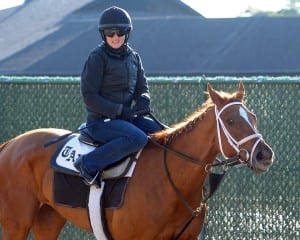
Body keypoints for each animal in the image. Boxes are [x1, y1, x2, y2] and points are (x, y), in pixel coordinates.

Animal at [0, 82, 274, 240]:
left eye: (253, 117)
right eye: (230, 120)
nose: (264, 155)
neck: (170, 178)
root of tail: (10, 145)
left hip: (49, 219)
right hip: (16, 223)